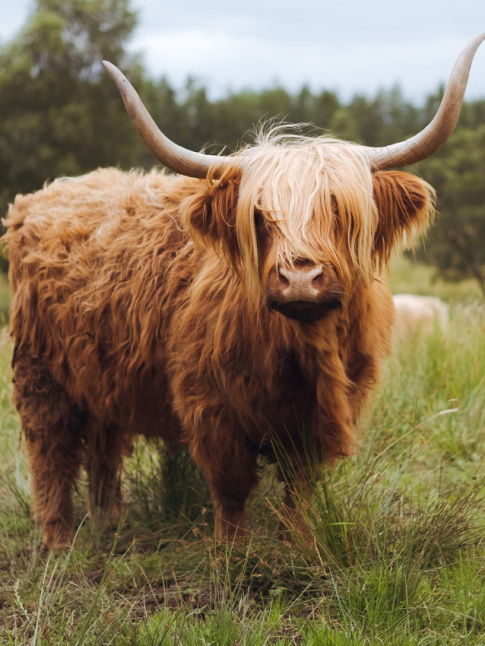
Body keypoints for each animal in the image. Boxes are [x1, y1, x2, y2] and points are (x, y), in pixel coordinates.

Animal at [3, 34, 484, 552]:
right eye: (259, 215)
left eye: (339, 210)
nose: (300, 279)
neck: (302, 353)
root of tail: (46, 194)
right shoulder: (212, 408)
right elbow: (231, 488)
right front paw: (232, 556)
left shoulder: (323, 416)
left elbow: (299, 488)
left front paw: (298, 546)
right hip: (40, 374)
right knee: (50, 453)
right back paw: (59, 542)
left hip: (101, 375)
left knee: (104, 447)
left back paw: (107, 524)